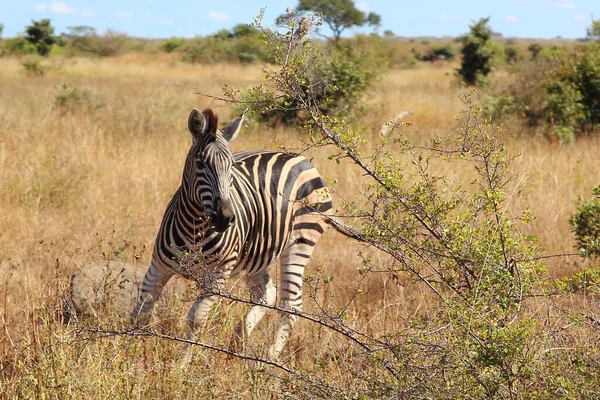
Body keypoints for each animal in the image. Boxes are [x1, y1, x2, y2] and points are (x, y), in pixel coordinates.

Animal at [132, 106, 356, 360]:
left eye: (231, 165)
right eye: (200, 163)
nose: (225, 218)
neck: (194, 227)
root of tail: (300, 159)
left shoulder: (217, 276)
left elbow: (196, 321)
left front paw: (179, 366)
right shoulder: (158, 267)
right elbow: (140, 313)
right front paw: (129, 355)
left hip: (301, 240)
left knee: (290, 304)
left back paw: (268, 358)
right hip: (257, 252)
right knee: (266, 293)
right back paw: (238, 342)